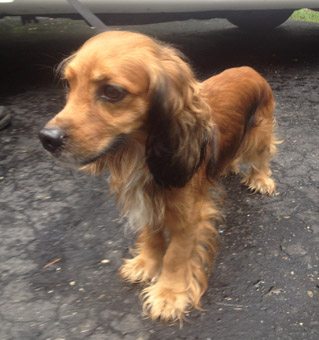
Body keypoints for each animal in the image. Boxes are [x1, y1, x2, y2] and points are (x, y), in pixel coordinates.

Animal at [38, 31, 278, 324]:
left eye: (112, 92)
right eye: (69, 84)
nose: (47, 139)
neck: (140, 152)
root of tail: (248, 68)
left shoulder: (190, 214)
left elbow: (176, 255)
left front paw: (169, 295)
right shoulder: (148, 200)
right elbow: (151, 235)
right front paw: (146, 265)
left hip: (260, 132)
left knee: (262, 156)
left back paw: (261, 180)